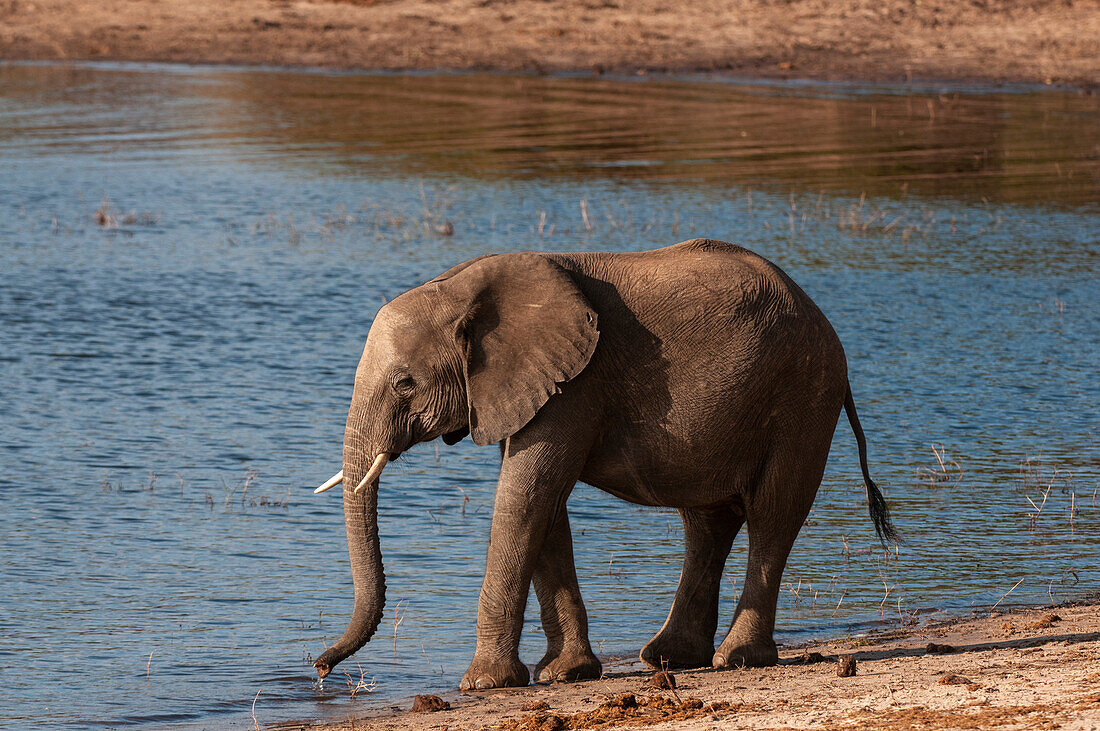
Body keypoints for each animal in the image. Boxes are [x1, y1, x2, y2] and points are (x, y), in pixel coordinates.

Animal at [308, 239, 893, 690]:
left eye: (405, 383)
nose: (318, 669)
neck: (464, 287)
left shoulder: (574, 387)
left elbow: (525, 498)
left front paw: (484, 685)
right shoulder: (531, 387)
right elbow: (544, 509)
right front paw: (566, 674)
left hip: (803, 395)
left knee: (773, 513)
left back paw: (737, 660)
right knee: (707, 521)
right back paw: (668, 658)